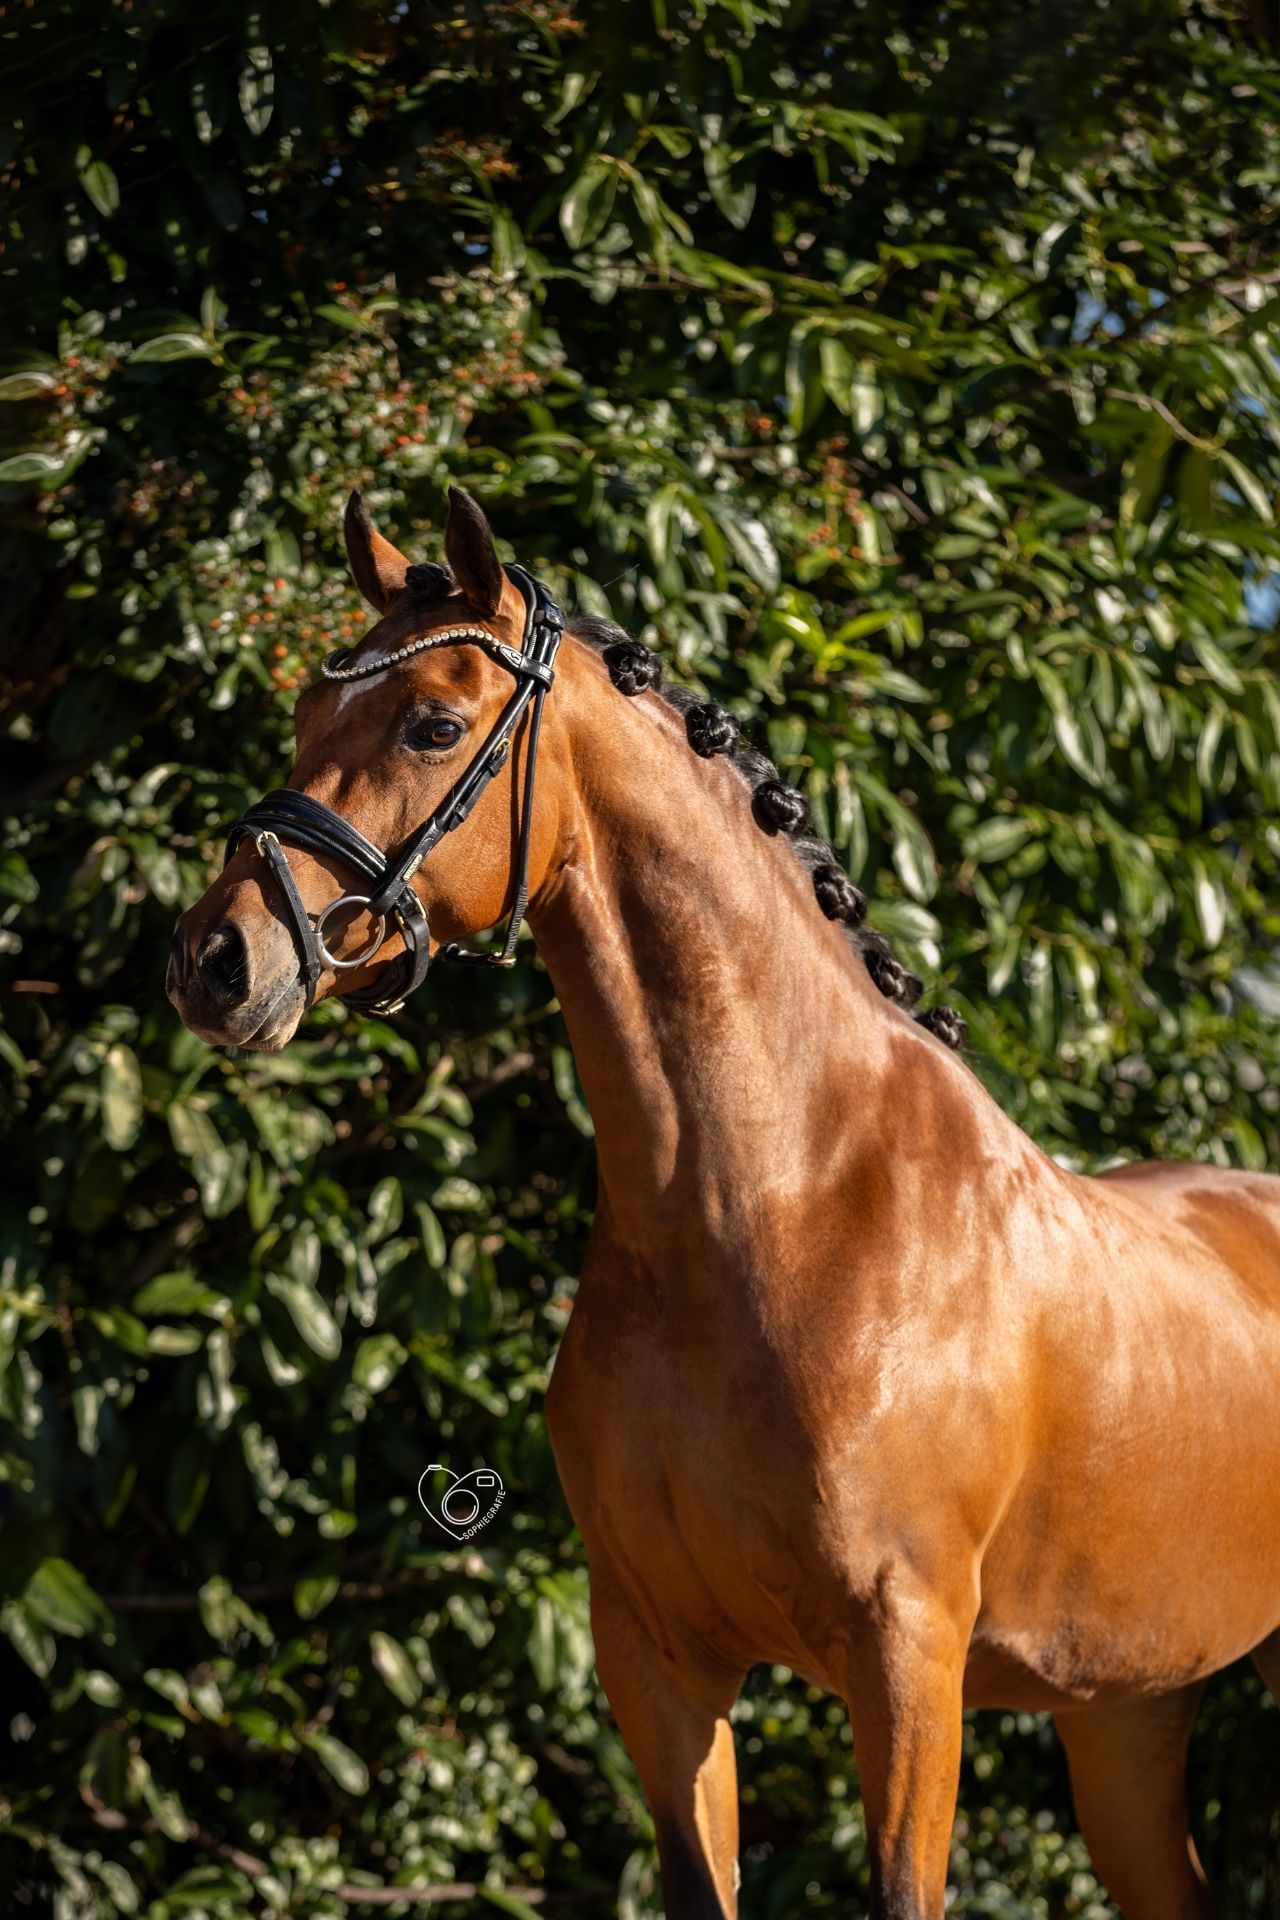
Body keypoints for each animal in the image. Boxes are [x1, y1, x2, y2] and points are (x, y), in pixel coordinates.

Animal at [167, 488, 1280, 1920]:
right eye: (310, 710)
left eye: (432, 723)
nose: (216, 958)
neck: (775, 1210)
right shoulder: (655, 1659)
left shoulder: (905, 1663)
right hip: (1122, 1709)